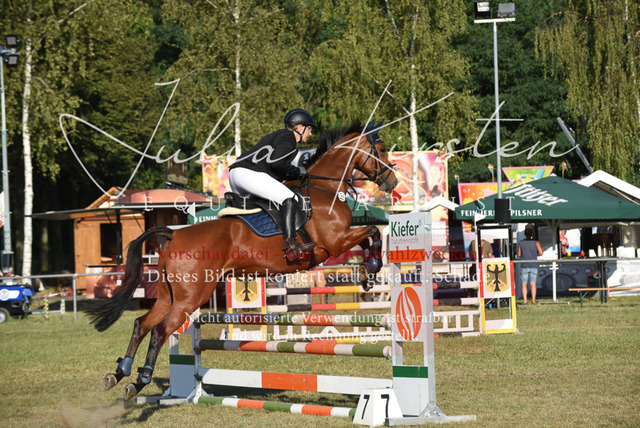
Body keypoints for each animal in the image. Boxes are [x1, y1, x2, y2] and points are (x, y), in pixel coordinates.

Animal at [85, 121, 398, 400]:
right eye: (382, 149)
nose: (392, 182)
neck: (325, 190)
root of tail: (174, 235)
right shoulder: (334, 241)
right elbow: (372, 232)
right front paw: (370, 270)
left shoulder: (339, 240)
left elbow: (369, 237)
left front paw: (368, 275)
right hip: (191, 298)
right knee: (160, 331)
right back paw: (140, 379)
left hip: (168, 295)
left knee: (141, 324)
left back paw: (120, 374)